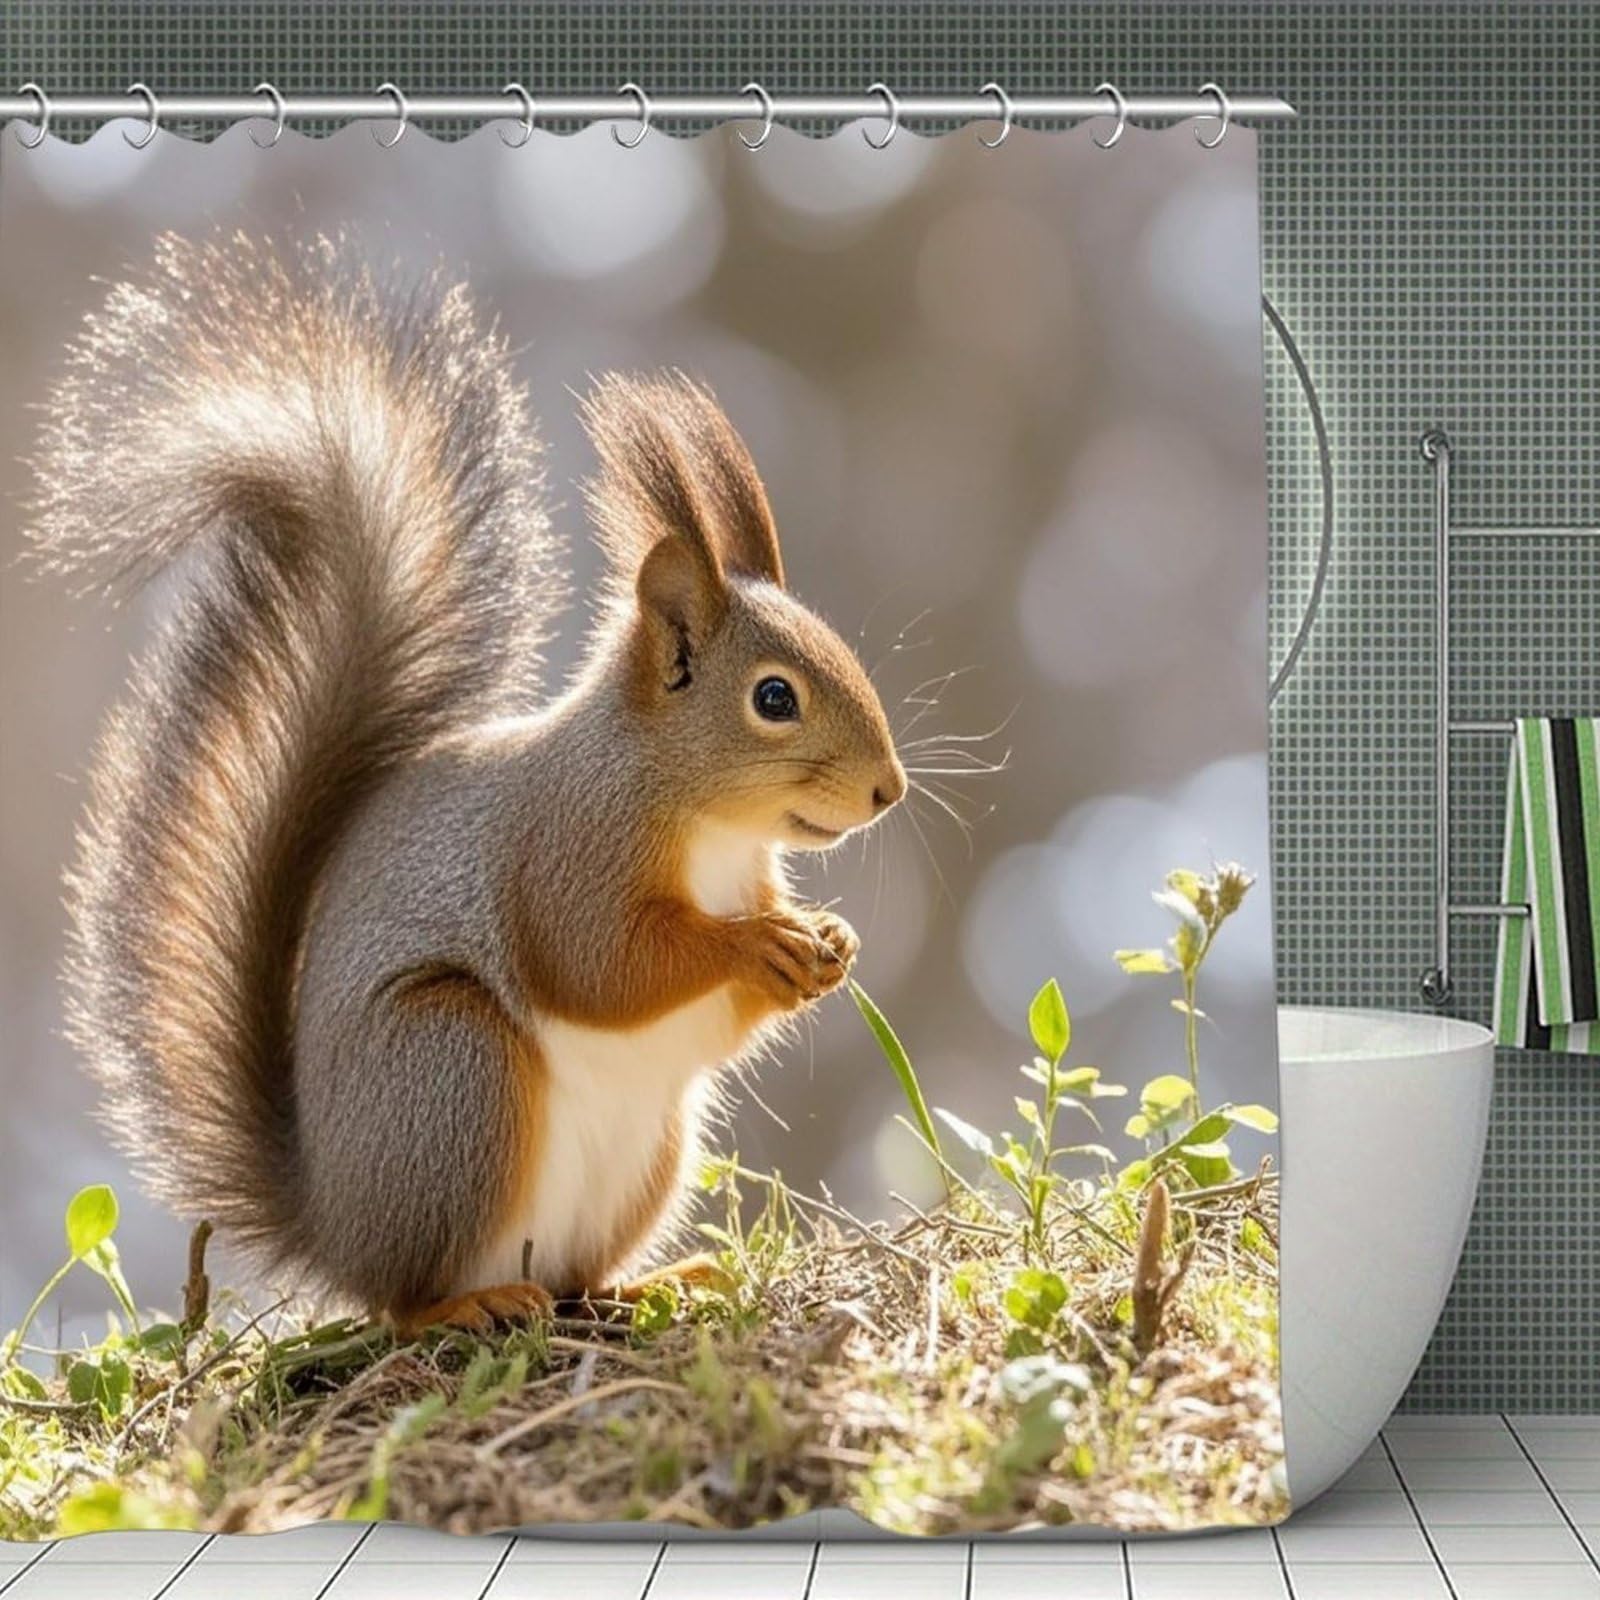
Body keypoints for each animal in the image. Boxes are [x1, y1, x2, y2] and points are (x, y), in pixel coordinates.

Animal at [29, 231, 906, 1333]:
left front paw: (828, 941)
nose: (889, 791)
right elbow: (601, 964)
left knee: (579, 1277)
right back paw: (465, 1307)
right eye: (775, 697)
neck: (703, 820)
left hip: (647, 1151)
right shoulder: (565, 846)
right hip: (455, 1068)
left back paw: (649, 1280)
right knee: (406, 1296)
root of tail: (334, 1224)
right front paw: (757, 944)